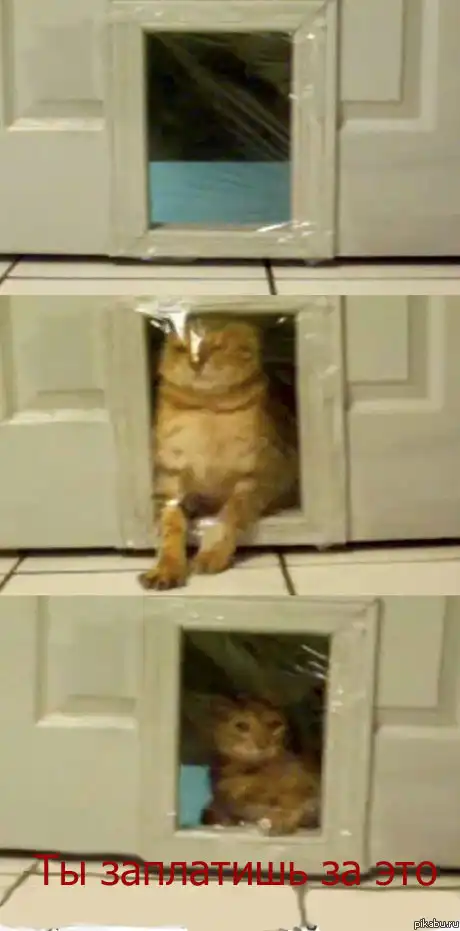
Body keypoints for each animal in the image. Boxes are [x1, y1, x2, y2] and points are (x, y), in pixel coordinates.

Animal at [139, 316, 297, 591]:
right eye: (181, 348)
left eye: (216, 347)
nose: (195, 363)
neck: (207, 411)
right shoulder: (169, 482)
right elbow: (171, 526)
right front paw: (166, 568)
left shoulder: (257, 479)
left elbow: (229, 517)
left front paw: (212, 555)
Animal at [201, 696, 321, 835]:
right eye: (242, 726)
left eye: (274, 724)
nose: (262, 744)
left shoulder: (308, 789)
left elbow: (294, 803)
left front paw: (279, 819)